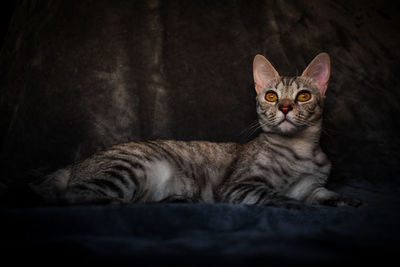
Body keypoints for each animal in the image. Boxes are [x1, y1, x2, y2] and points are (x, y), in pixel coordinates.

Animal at [32, 52, 360, 207]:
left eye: (303, 96)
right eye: (271, 96)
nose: (285, 108)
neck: (300, 150)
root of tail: (75, 164)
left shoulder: (311, 186)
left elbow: (322, 193)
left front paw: (346, 200)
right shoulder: (241, 185)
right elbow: (281, 198)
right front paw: (306, 209)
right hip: (128, 168)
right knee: (74, 197)